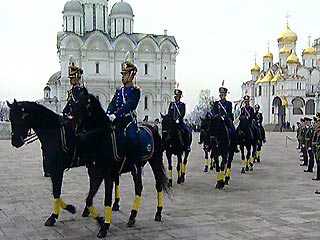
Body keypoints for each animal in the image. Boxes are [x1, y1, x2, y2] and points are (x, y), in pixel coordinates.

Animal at [71, 90, 169, 238]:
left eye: (86, 106)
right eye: (75, 104)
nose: (74, 127)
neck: (102, 139)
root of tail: (151, 127)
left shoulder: (107, 175)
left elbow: (107, 199)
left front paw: (105, 226)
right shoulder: (95, 174)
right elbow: (89, 199)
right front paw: (100, 221)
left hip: (155, 161)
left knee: (157, 186)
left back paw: (157, 213)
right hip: (138, 167)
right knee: (139, 188)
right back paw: (132, 217)